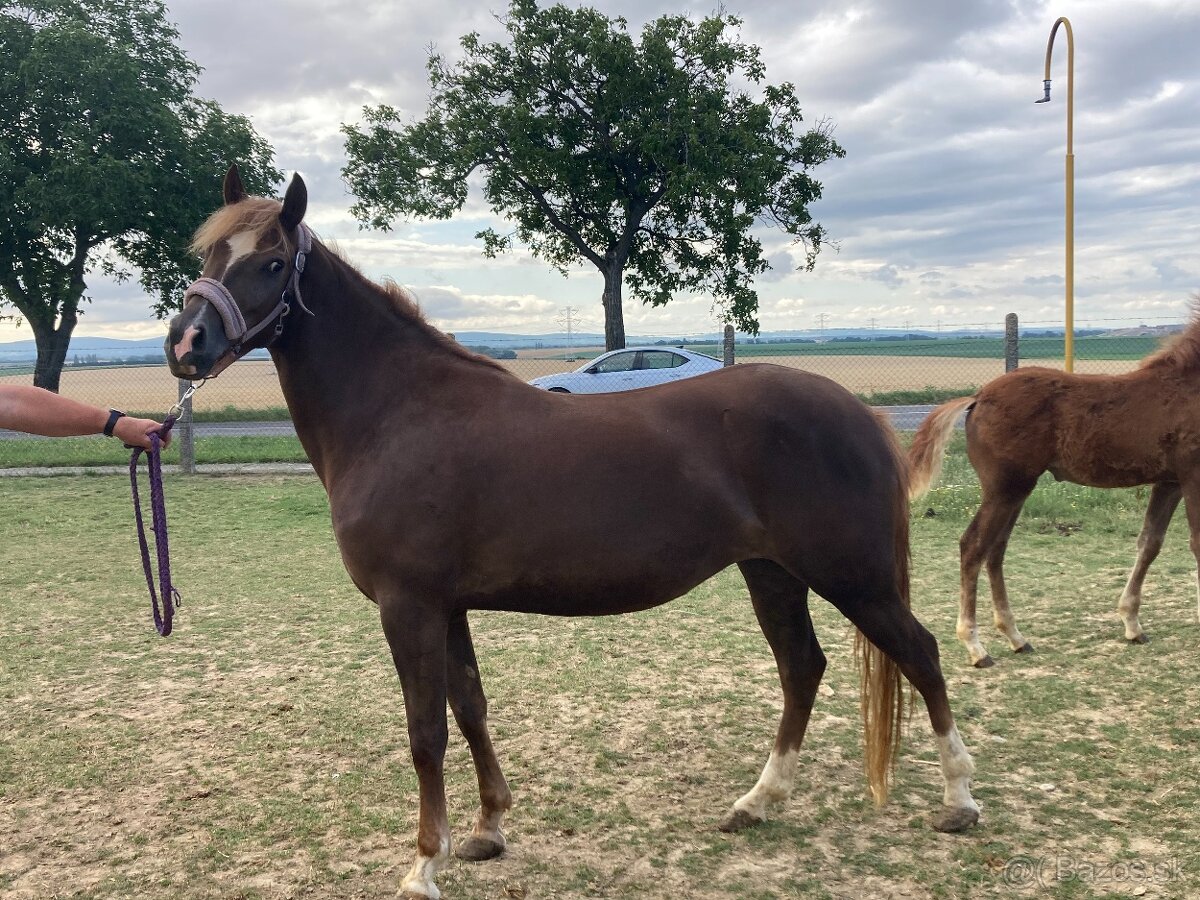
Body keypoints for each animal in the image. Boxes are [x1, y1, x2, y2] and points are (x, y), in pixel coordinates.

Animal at [166, 169, 974, 900]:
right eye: (208, 254)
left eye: (272, 262)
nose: (185, 343)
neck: (397, 413)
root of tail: (862, 414)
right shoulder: (448, 607)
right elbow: (471, 708)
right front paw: (488, 830)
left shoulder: (409, 606)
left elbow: (426, 732)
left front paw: (424, 864)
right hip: (772, 573)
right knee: (802, 668)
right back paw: (758, 803)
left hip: (852, 578)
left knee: (921, 654)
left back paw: (958, 801)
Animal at [907, 324, 1200, 672]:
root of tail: (978, 398)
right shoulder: (1193, 475)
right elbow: (1194, 544)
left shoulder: (1170, 482)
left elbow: (1150, 543)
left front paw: (1132, 625)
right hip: (1005, 489)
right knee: (974, 545)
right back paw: (976, 647)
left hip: (1016, 491)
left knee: (996, 548)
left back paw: (1016, 637)